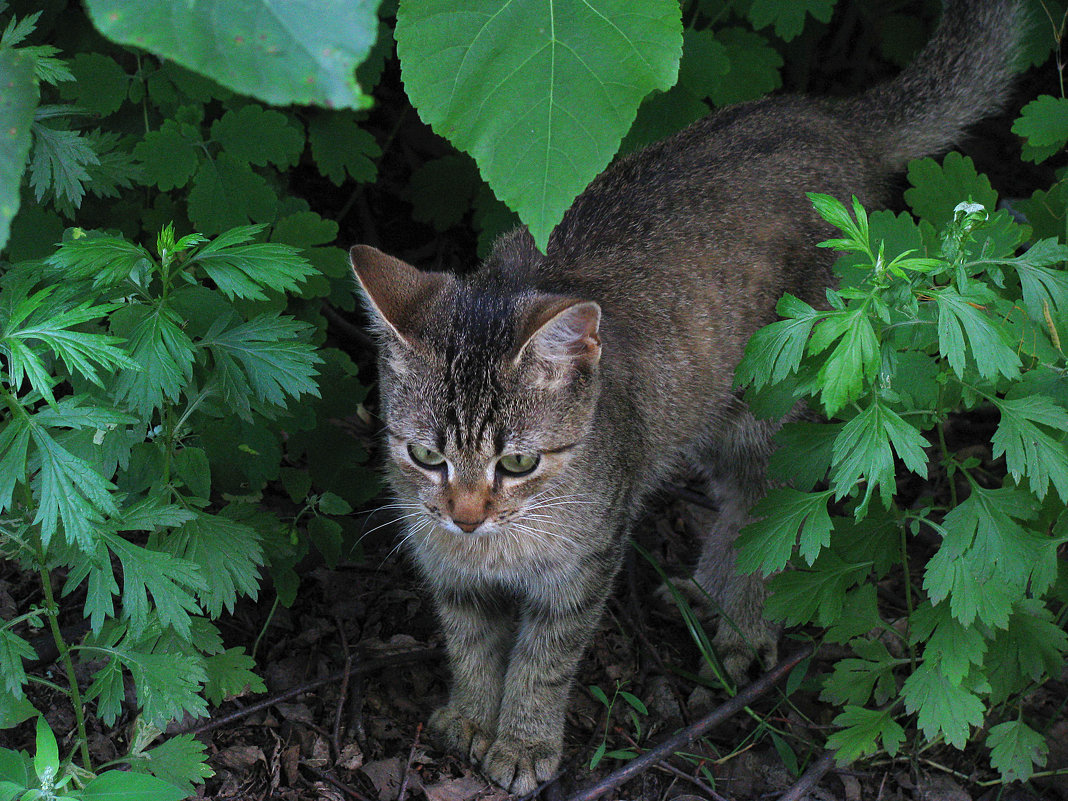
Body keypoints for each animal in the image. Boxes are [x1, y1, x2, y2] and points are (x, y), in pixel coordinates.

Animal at [346, 1, 1021, 798]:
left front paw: (522, 740)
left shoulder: (585, 565)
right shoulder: (447, 569)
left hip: (774, 411)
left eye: (517, 463)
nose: (467, 515)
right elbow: (470, 641)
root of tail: (824, 114)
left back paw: (744, 624)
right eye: (426, 454)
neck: (497, 548)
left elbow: (545, 661)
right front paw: (472, 715)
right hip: (710, 413)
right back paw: (705, 589)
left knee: (773, 512)